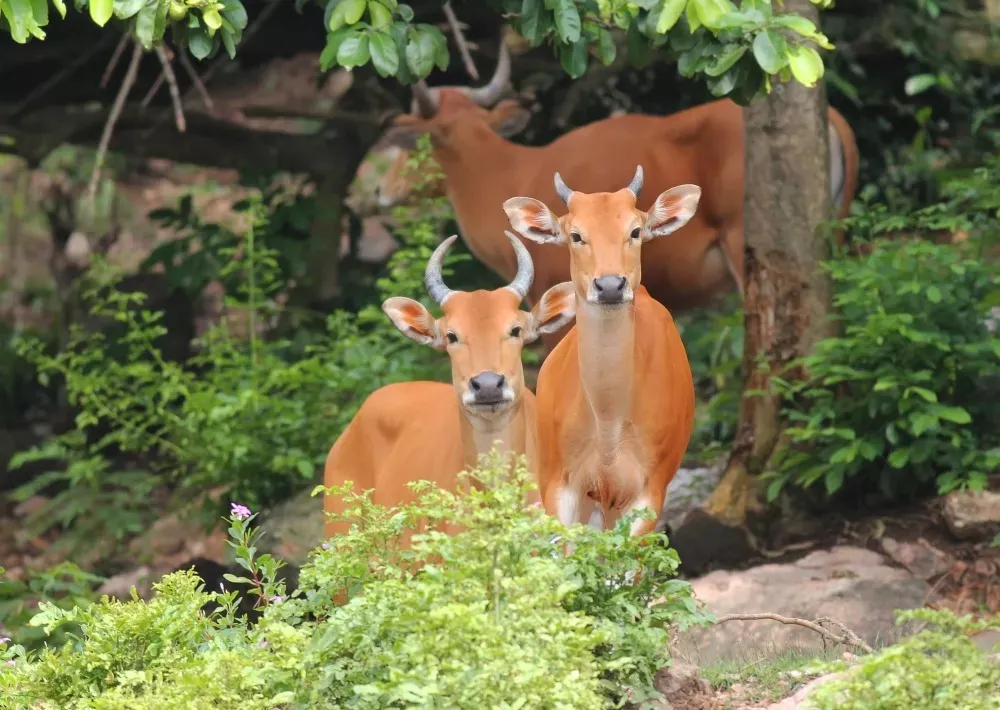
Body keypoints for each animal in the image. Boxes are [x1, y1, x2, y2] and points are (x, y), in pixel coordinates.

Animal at [508, 165, 696, 536]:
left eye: (635, 230)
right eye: (575, 235)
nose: (610, 285)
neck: (609, 431)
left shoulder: (651, 488)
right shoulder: (561, 482)